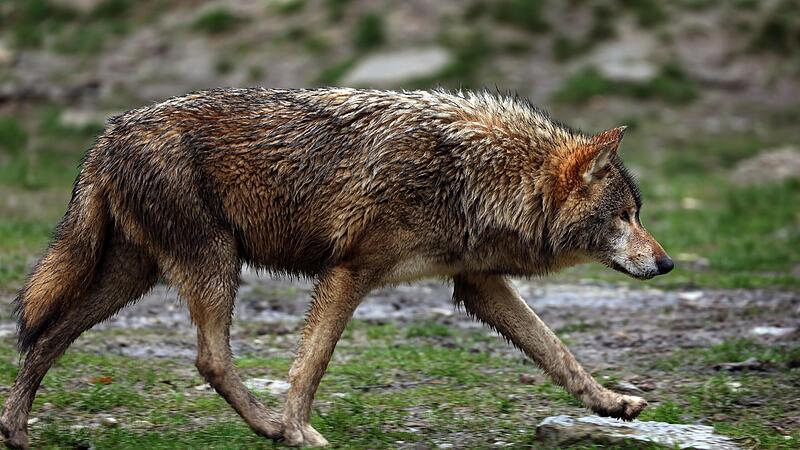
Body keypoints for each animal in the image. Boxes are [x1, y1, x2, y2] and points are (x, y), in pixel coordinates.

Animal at [1, 88, 672, 448]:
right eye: (627, 216)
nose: (666, 263)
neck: (476, 175)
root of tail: (107, 134)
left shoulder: (477, 284)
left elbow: (558, 352)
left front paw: (612, 403)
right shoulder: (350, 272)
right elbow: (311, 365)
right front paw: (299, 431)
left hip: (134, 278)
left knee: (46, 337)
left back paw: (17, 430)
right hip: (214, 265)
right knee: (209, 359)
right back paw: (270, 428)